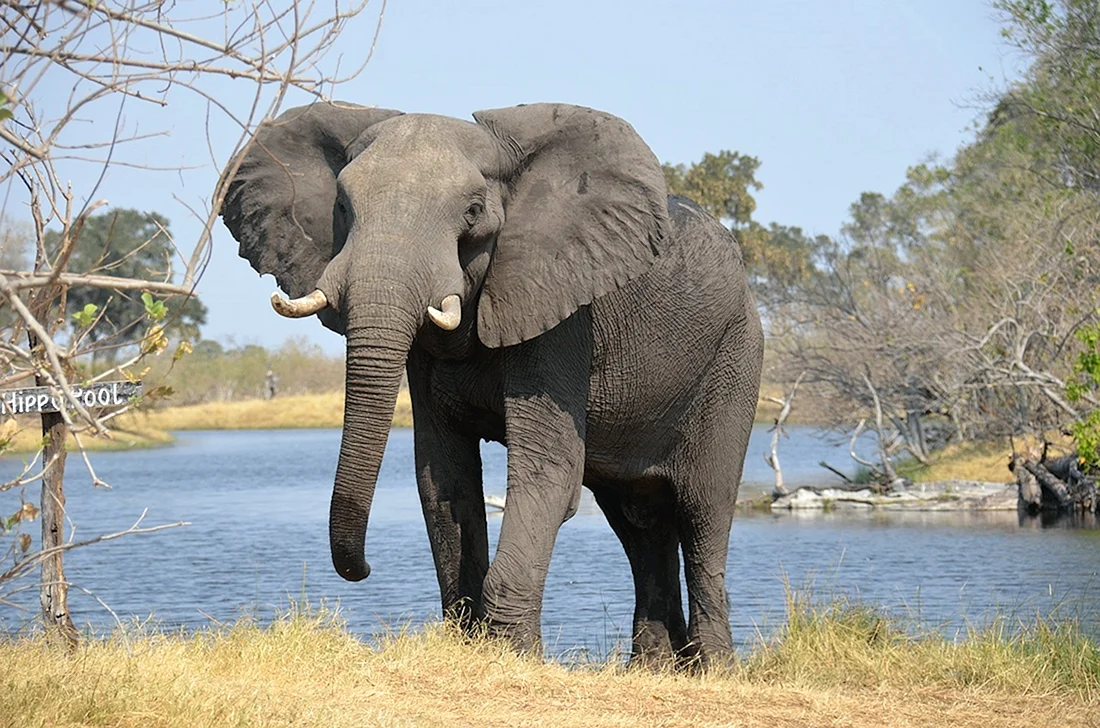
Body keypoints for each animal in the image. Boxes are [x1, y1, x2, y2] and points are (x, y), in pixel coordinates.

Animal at [217, 101, 764, 667]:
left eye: (473, 211)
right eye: (343, 206)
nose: (364, 570)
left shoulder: (560, 310)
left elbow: (548, 472)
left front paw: (515, 655)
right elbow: (442, 476)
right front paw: (471, 643)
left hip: (736, 356)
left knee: (704, 509)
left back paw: (713, 668)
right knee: (638, 520)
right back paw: (655, 669)